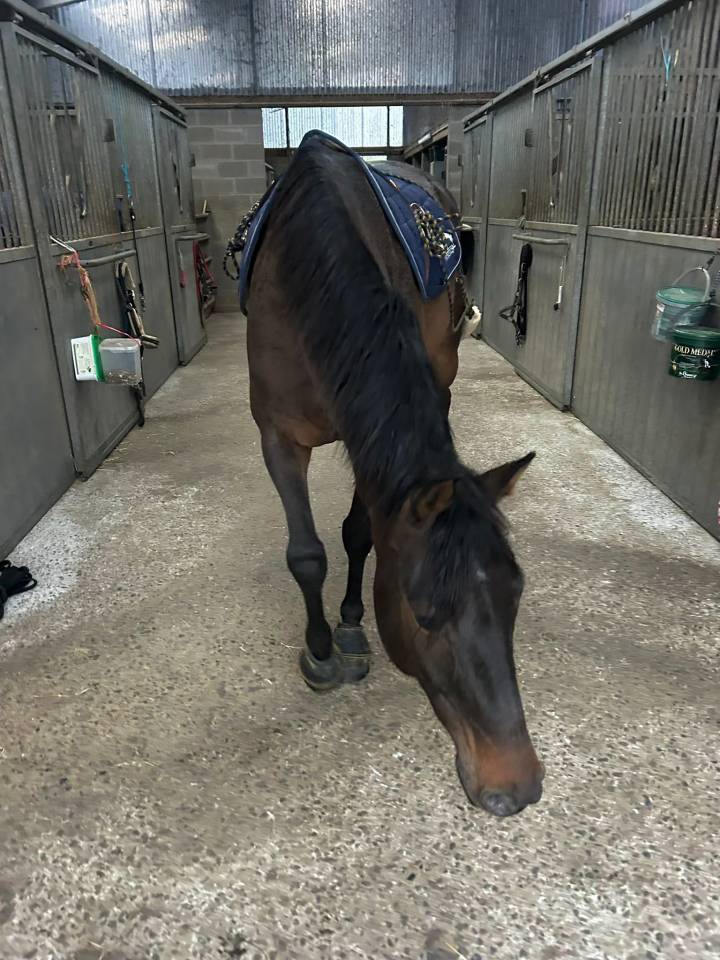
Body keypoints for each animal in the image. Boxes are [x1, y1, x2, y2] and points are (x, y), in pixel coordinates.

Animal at [243, 133, 543, 816]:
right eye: (425, 614)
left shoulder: (371, 436)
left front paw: (352, 626)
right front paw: (320, 652)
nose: (517, 786)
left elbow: (360, 534)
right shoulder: (277, 439)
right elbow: (307, 554)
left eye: (516, 596)